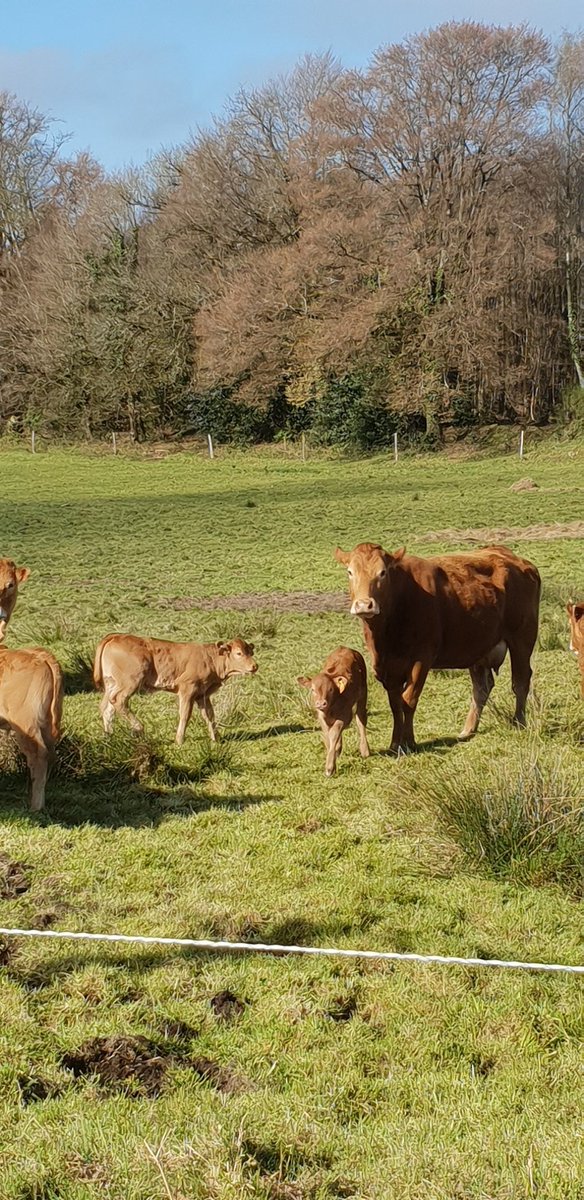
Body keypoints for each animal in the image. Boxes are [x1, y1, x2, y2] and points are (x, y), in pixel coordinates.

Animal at [0, 647, 63, 810]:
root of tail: (39, 654)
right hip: (46, 724)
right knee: (50, 755)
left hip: (25, 723)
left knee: (38, 756)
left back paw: (35, 807)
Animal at [93, 634, 258, 744]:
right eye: (239, 653)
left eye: (250, 652)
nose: (254, 666)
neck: (210, 659)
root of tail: (116, 636)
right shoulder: (187, 689)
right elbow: (185, 715)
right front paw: (179, 740)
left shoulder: (202, 695)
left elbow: (210, 716)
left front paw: (216, 738)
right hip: (131, 681)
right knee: (119, 701)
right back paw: (138, 727)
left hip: (111, 683)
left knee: (107, 707)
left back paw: (108, 736)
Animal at [298, 647, 369, 776]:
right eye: (313, 689)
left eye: (330, 689)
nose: (321, 703)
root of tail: (346, 648)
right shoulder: (321, 716)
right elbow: (328, 736)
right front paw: (334, 755)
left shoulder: (345, 714)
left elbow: (334, 733)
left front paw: (329, 768)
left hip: (363, 693)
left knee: (361, 718)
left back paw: (364, 750)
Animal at [335, 542, 541, 753]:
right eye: (350, 572)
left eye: (382, 572)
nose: (364, 605)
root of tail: (515, 559)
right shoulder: (389, 668)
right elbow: (395, 705)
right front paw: (394, 744)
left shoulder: (421, 660)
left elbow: (408, 700)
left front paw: (409, 742)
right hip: (477, 648)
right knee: (481, 688)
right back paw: (468, 730)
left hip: (522, 639)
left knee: (520, 680)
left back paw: (519, 721)